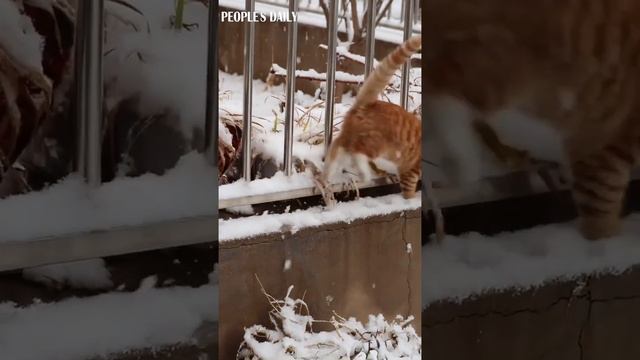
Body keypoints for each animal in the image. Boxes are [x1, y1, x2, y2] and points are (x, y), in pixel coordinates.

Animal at [322, 34, 422, 200]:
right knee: (358, 152)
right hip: (376, 143)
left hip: (347, 139)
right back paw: (364, 174)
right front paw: (413, 198)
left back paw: (325, 178)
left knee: (336, 152)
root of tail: (368, 103)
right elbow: (409, 191)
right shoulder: (411, 171)